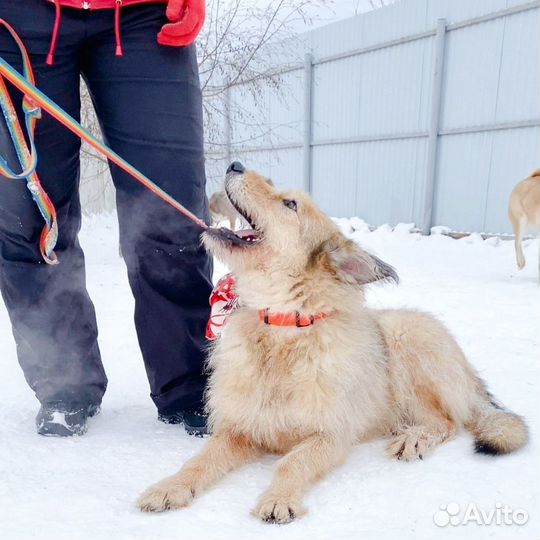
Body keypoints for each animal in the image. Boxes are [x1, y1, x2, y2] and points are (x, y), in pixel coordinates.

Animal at [138, 165, 528, 524]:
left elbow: (291, 463)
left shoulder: (330, 436)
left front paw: (278, 497)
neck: (283, 327)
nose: (235, 165)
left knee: (446, 421)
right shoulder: (239, 430)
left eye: (290, 204)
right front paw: (170, 487)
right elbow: (199, 461)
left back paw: (414, 437)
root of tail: (470, 374)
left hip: (406, 341)